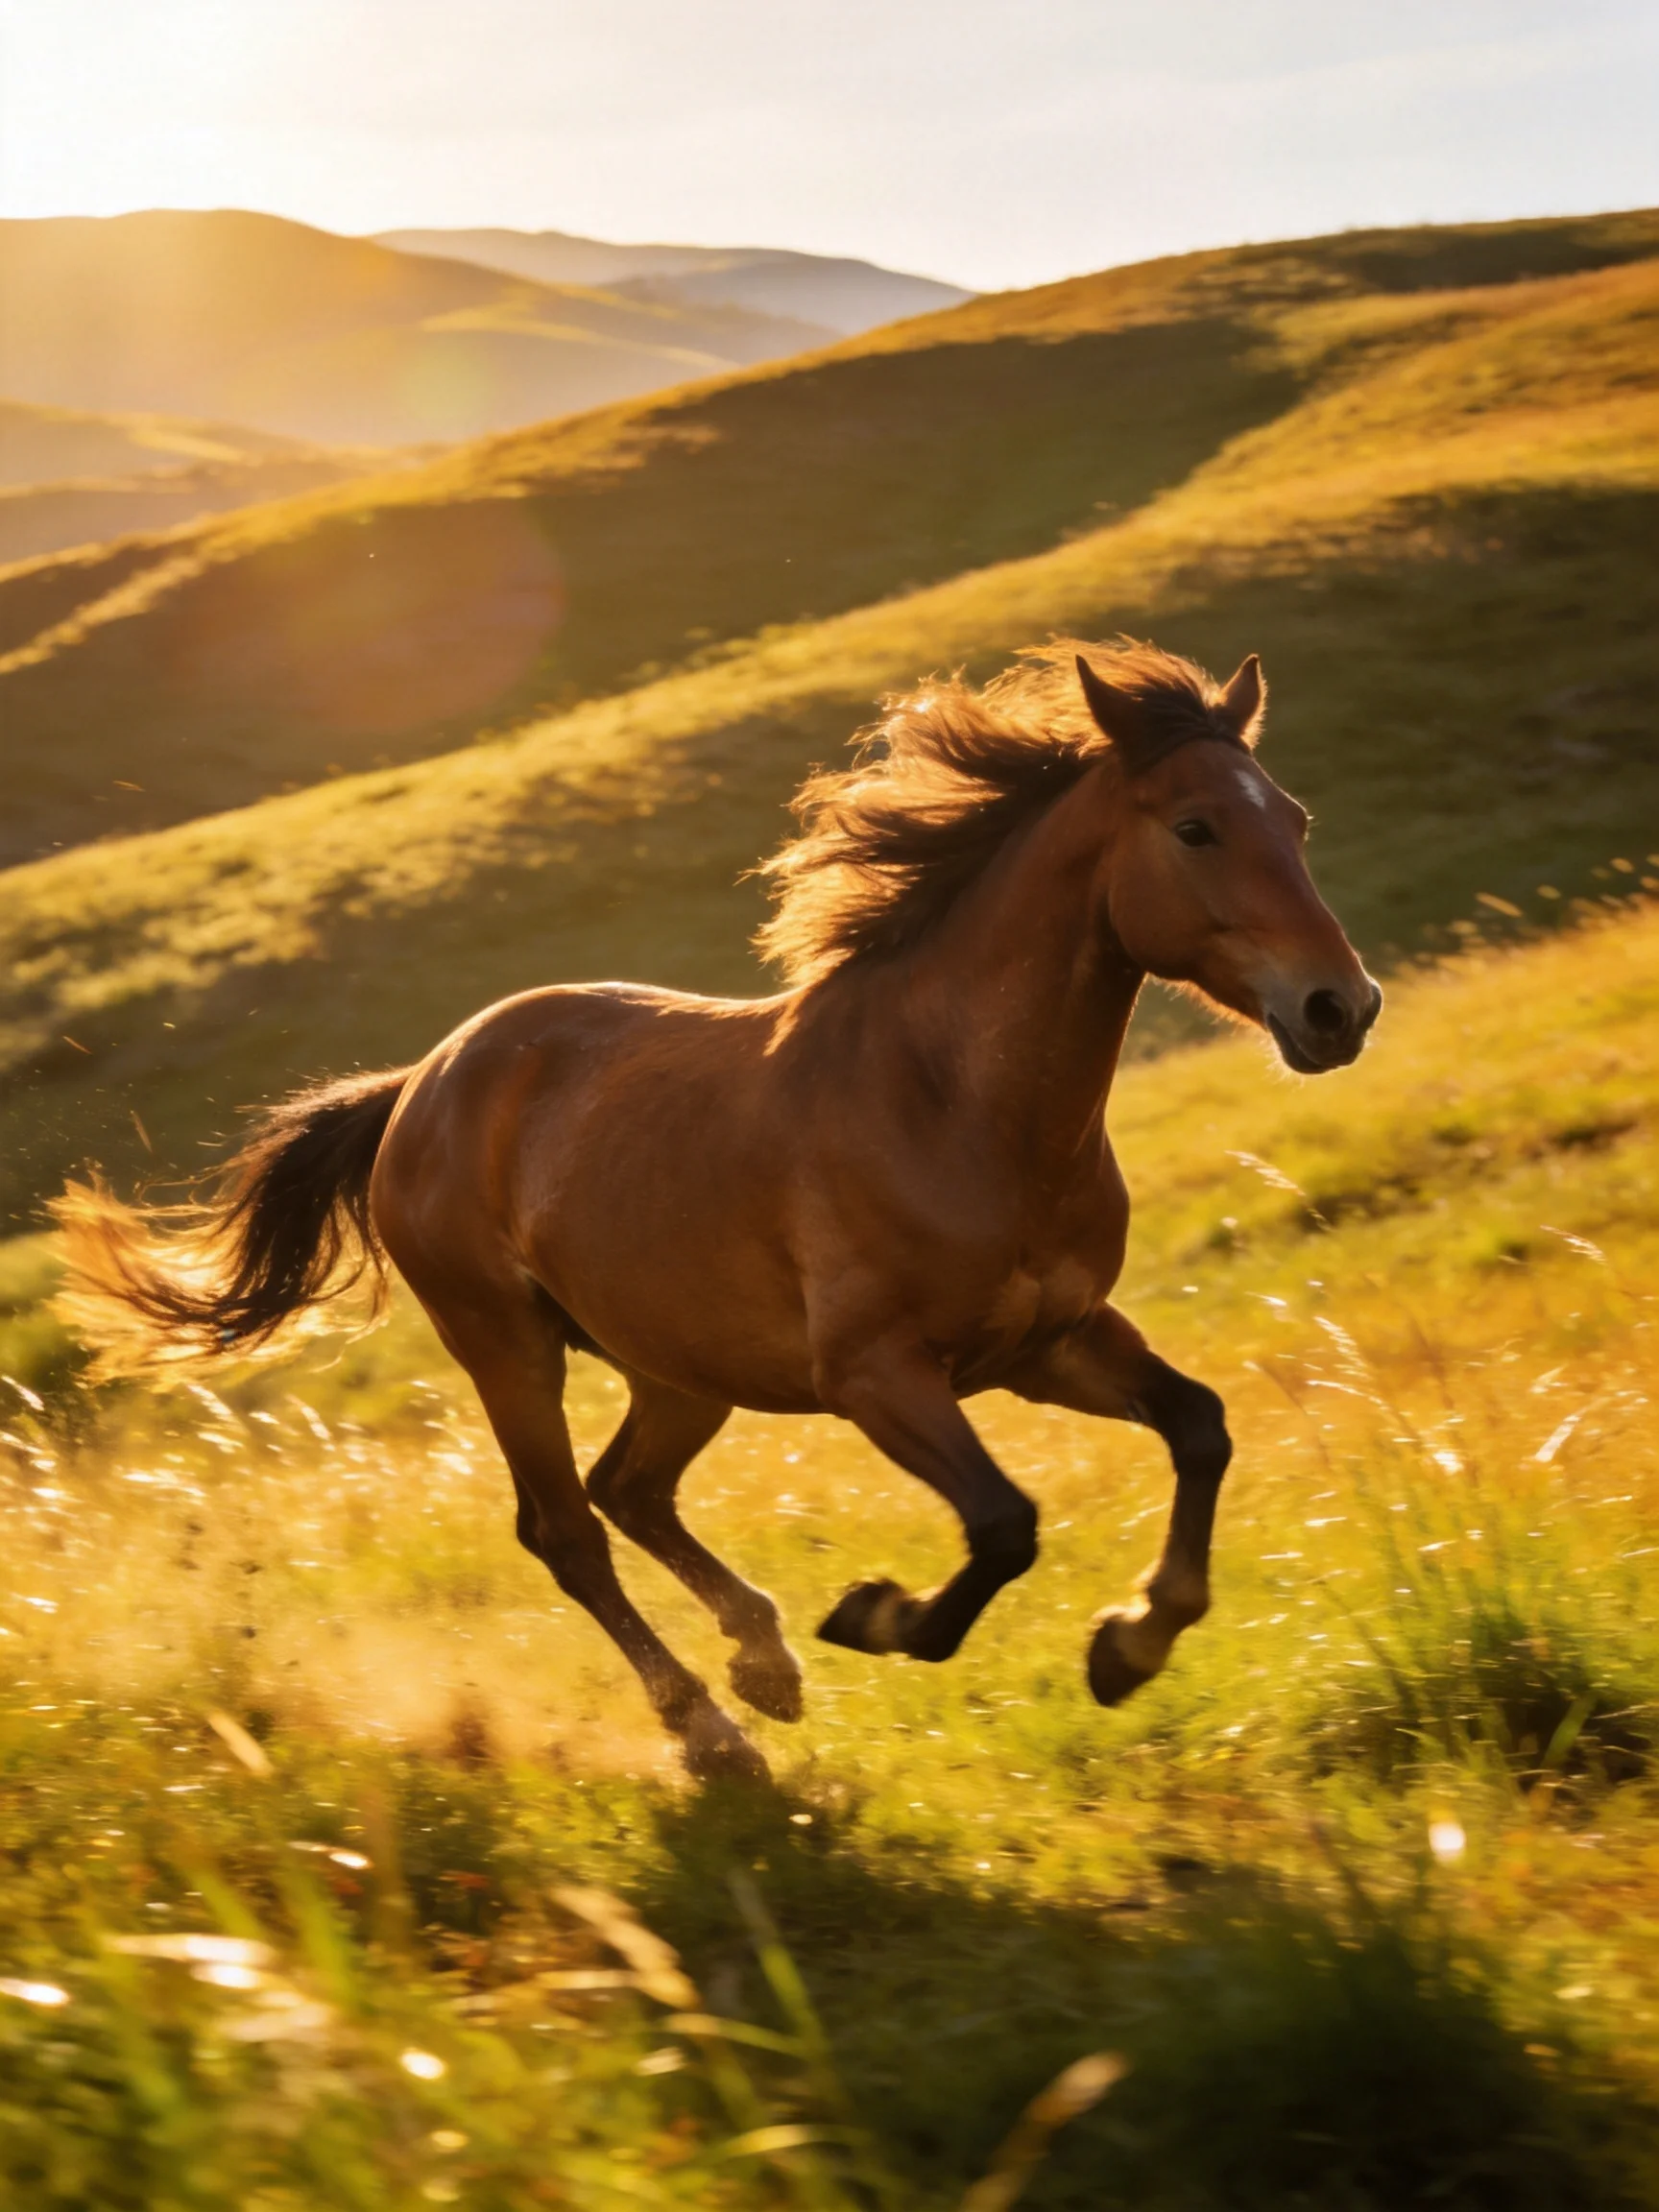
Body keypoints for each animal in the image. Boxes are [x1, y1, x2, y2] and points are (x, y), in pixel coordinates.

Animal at [60, 640, 1381, 1781]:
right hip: (508, 1347)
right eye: (1196, 827)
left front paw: (1130, 1643)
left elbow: (1200, 1426)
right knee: (566, 1528)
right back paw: (713, 1732)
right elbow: (1006, 1524)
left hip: (680, 1364)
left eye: (1298, 821)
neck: (952, 1105)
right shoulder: (877, 1374)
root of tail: (418, 1086)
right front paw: (881, 1616)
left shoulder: (1048, 1344)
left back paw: (762, 1660)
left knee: (628, 1489)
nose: (1339, 1008)